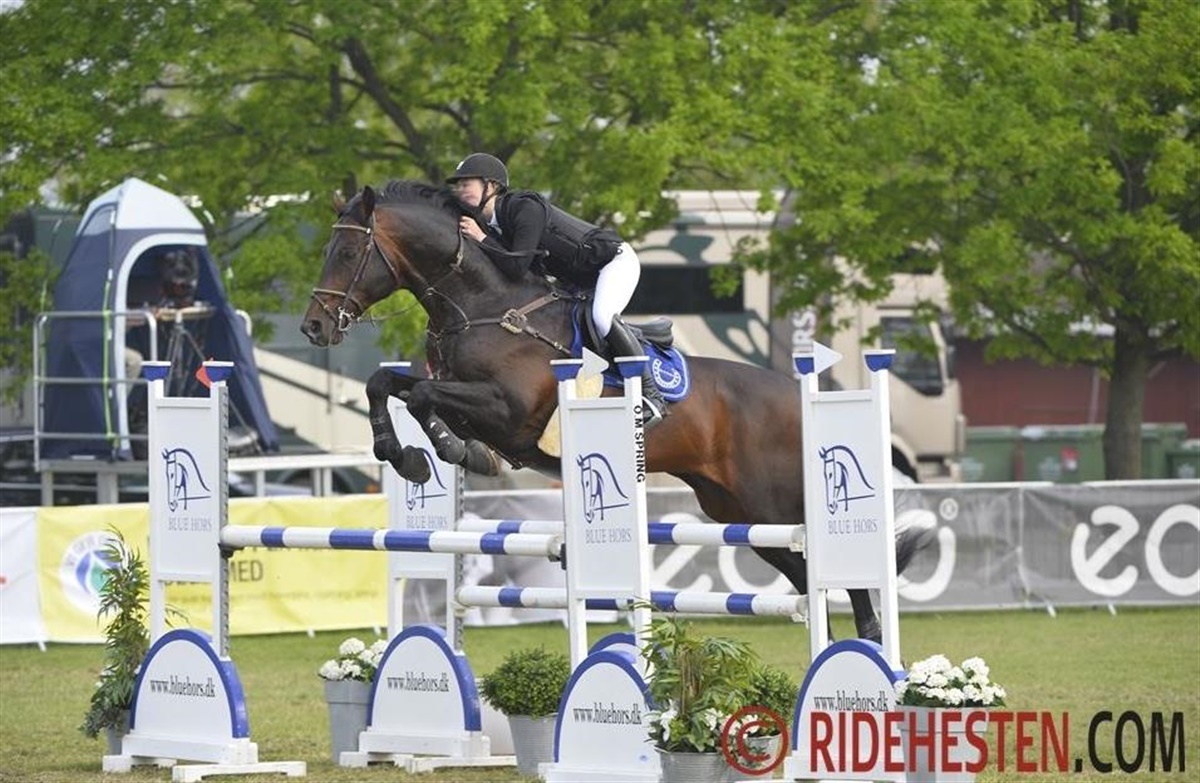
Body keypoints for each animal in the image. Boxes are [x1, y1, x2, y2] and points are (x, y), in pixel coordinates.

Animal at [301, 180, 927, 644]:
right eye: (328, 251)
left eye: (350, 252)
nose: (314, 326)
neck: (481, 305)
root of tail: (796, 394)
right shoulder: (462, 393)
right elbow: (388, 385)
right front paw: (414, 453)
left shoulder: (508, 411)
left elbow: (423, 397)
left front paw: (442, 453)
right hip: (739, 512)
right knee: (804, 573)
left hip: (774, 501)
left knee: (837, 568)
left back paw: (869, 646)